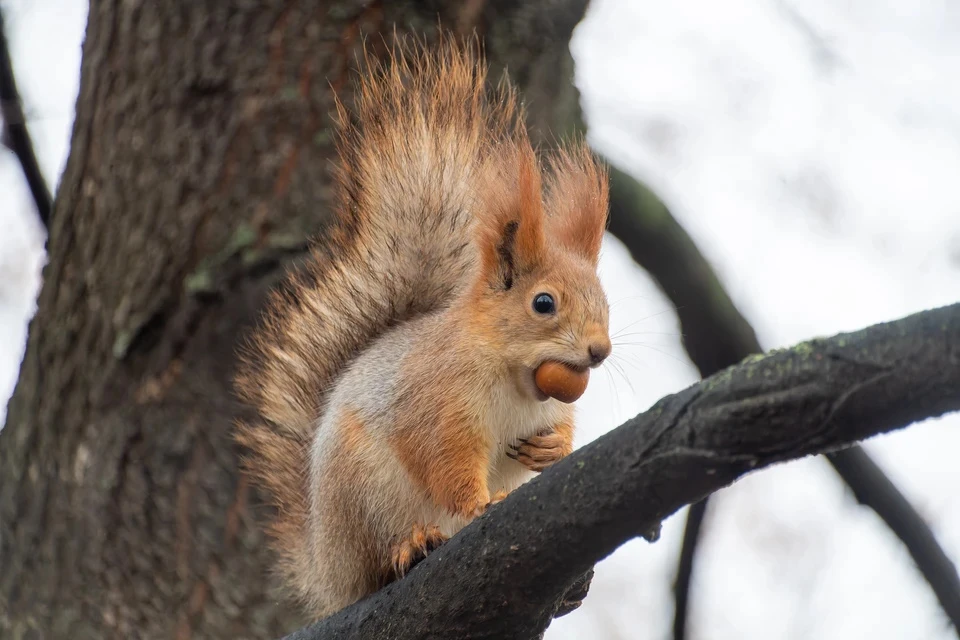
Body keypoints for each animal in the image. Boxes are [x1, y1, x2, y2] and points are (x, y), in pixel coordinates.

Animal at [233, 33, 612, 620]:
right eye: (543, 303)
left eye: (605, 302)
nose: (599, 351)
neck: (515, 378)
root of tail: (327, 570)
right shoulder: (436, 402)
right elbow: (444, 460)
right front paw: (479, 503)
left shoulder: (550, 407)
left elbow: (560, 433)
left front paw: (552, 451)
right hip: (362, 495)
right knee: (379, 560)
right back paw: (410, 546)